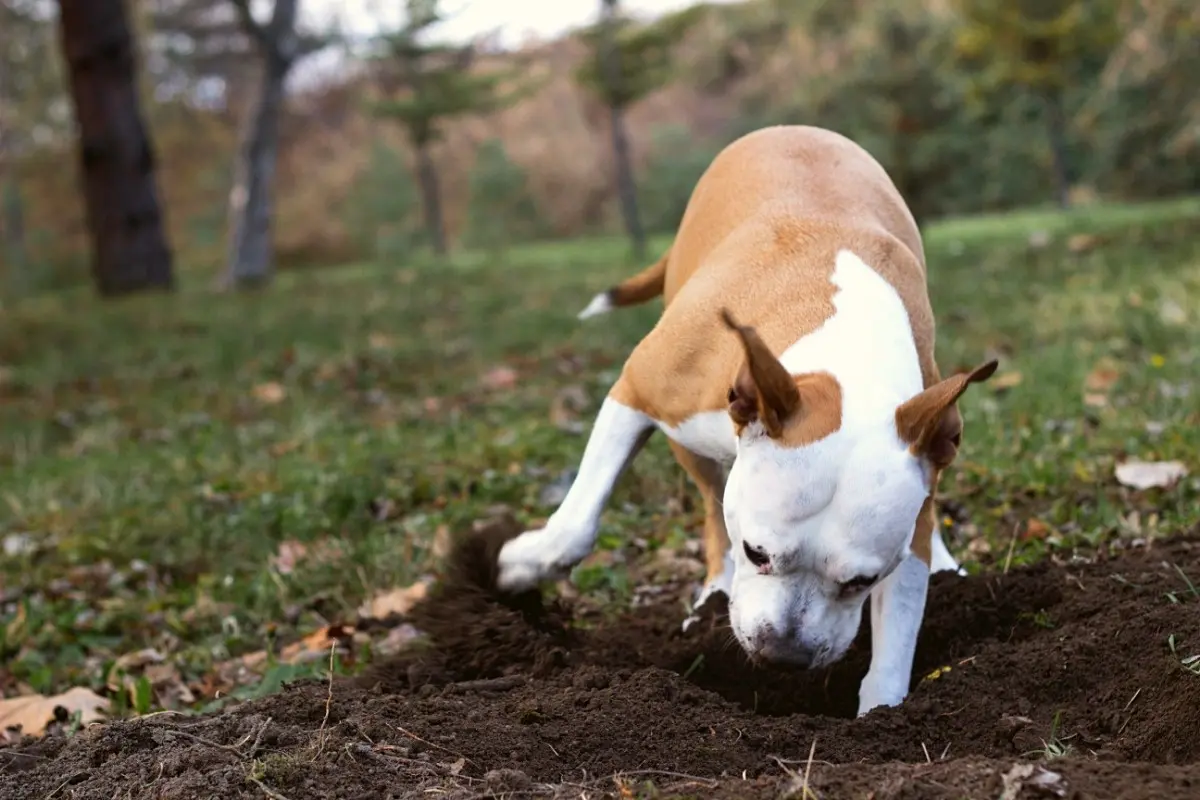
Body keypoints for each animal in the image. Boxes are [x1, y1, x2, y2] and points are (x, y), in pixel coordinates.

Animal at [494, 126, 993, 719]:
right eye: (759, 553)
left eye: (862, 580)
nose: (785, 655)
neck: (846, 350)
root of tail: (793, 128)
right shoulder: (636, 392)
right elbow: (578, 522)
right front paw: (523, 565)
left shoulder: (913, 478)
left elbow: (899, 622)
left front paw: (883, 710)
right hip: (691, 444)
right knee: (712, 504)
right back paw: (712, 592)